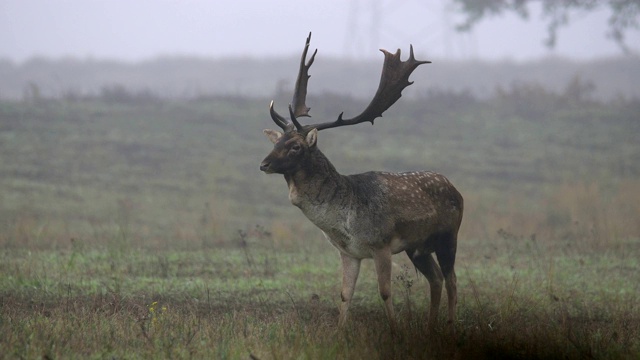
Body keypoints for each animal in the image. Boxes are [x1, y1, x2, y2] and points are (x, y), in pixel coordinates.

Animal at [260, 33, 464, 332]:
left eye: (296, 146)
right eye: (276, 142)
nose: (263, 164)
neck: (344, 221)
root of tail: (455, 188)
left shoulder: (381, 244)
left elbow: (385, 291)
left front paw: (394, 329)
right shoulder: (349, 252)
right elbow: (345, 294)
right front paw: (340, 331)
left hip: (449, 235)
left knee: (452, 279)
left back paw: (449, 324)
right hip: (417, 247)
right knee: (436, 278)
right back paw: (429, 326)